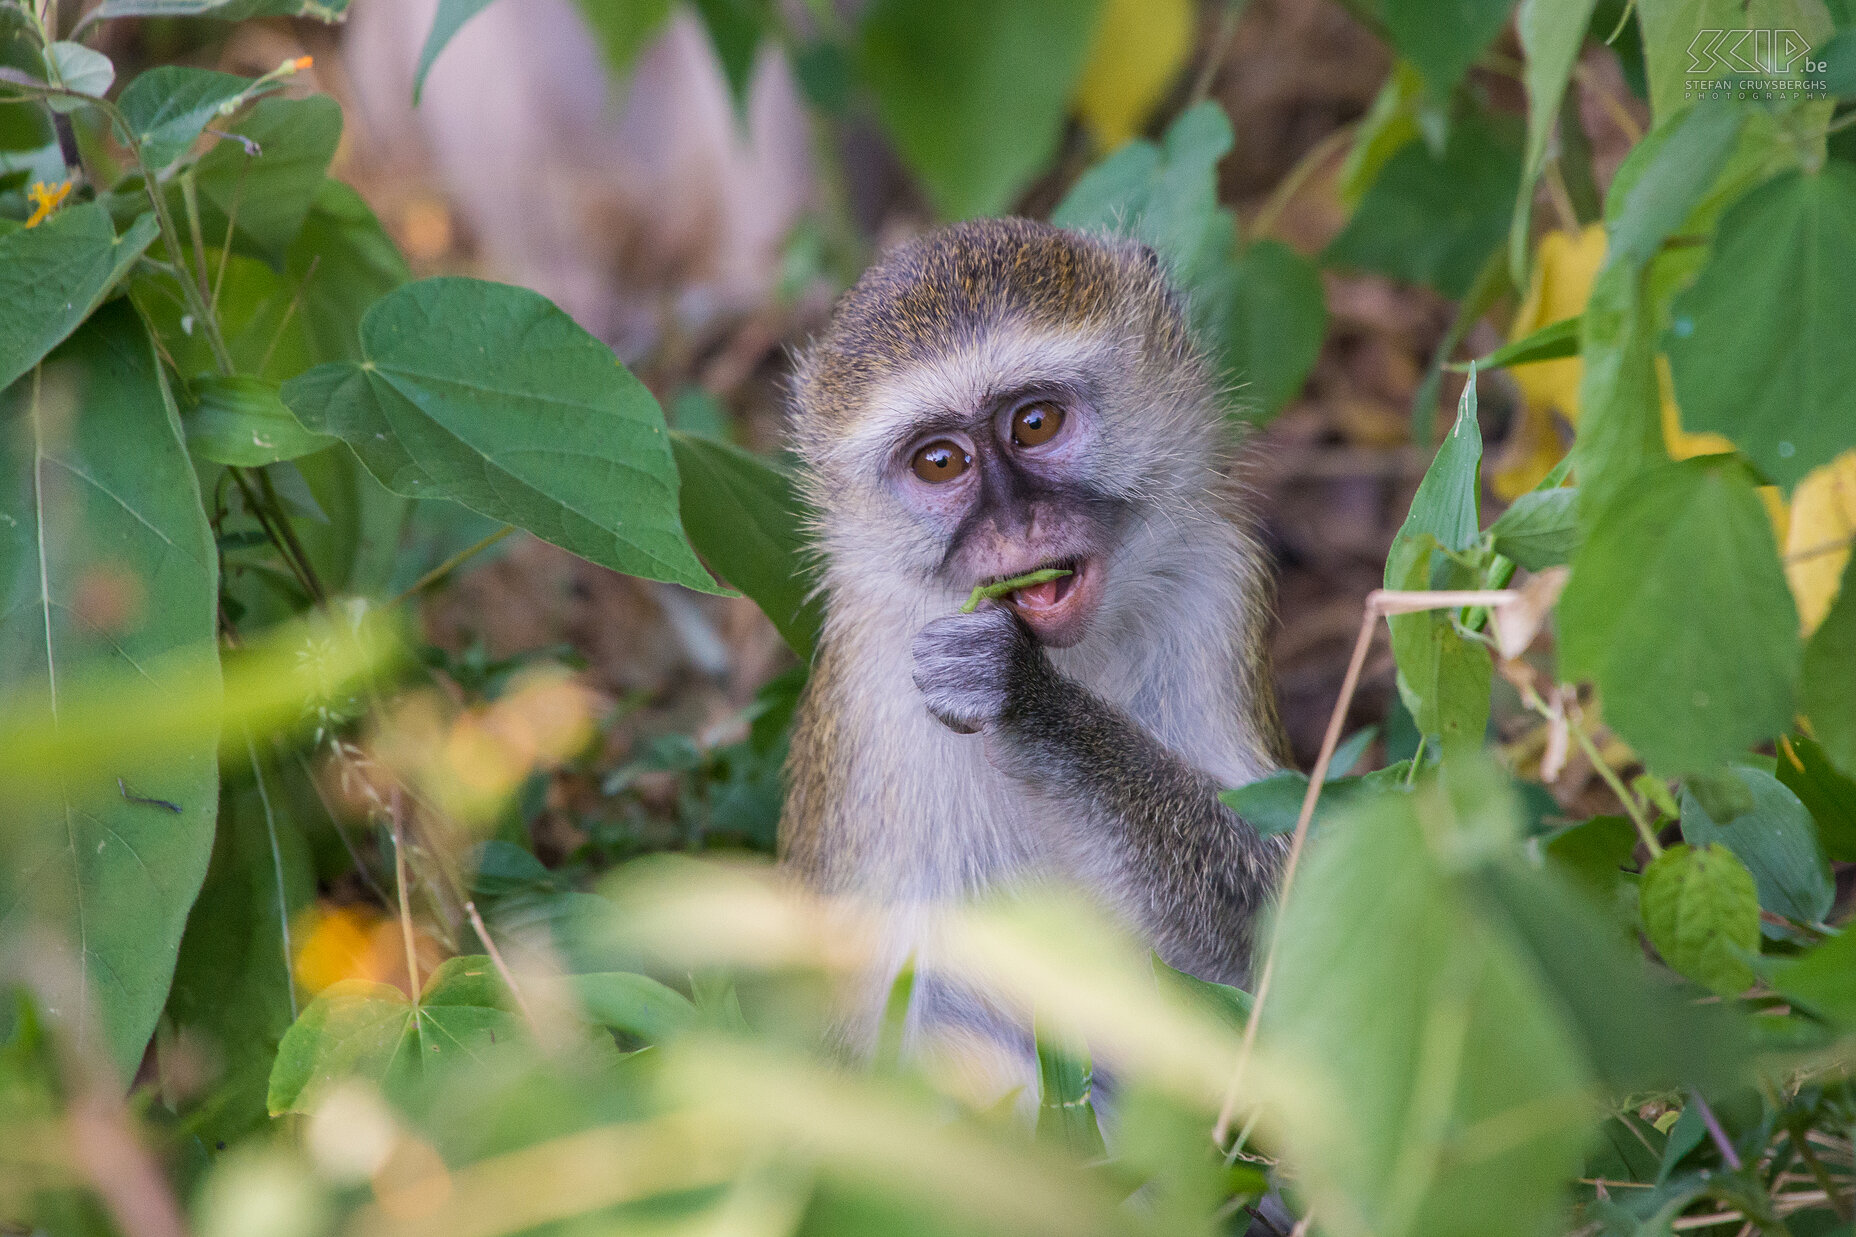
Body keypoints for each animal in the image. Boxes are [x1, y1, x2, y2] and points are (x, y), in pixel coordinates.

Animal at [775, 216, 1284, 1047]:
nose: (1016, 523)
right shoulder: (868, 684)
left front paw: (1030, 702)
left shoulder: (1217, 587)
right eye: (939, 461)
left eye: (1035, 422)